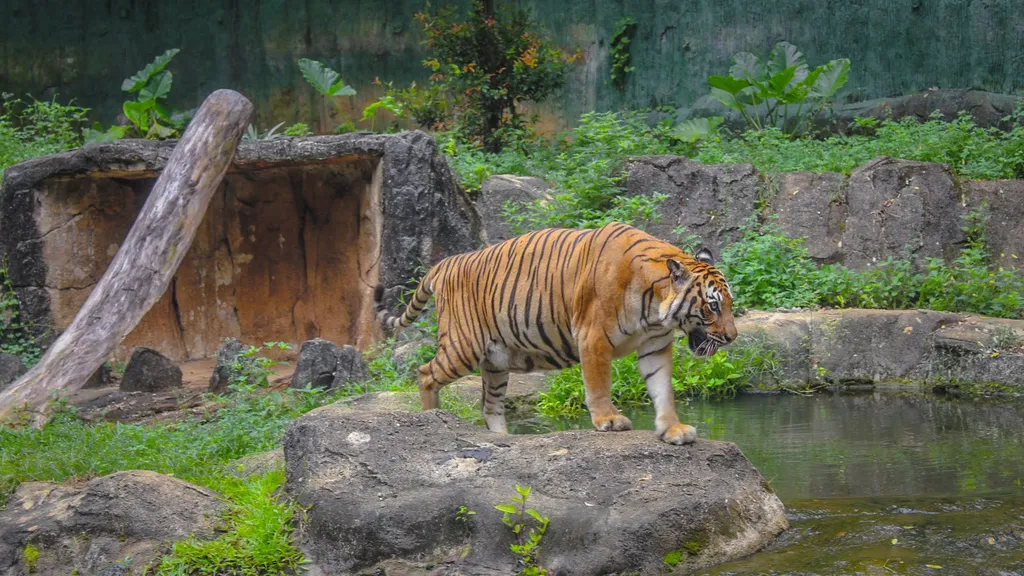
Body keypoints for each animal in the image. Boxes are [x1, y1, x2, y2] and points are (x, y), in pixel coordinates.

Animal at [376, 220, 737, 444]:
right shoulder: (593, 336)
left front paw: (673, 429)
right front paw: (608, 420)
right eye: (713, 306)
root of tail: (446, 263)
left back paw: (503, 440)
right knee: (425, 373)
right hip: (463, 347)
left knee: (489, 405)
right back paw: (432, 418)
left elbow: (663, 389)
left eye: (729, 304)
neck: (655, 311)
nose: (732, 337)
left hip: (496, 360)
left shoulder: (655, 345)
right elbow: (598, 384)